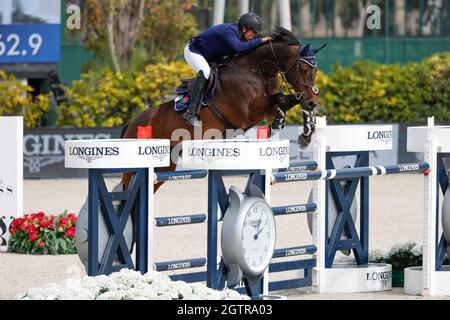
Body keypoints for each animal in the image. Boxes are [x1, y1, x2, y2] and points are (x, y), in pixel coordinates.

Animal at [120, 26, 324, 245]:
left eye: (315, 70)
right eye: (303, 69)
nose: (313, 102)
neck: (257, 71)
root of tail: (131, 125)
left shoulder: (266, 108)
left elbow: (289, 100)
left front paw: (303, 133)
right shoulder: (247, 112)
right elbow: (281, 98)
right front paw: (284, 122)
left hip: (164, 168)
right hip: (136, 170)